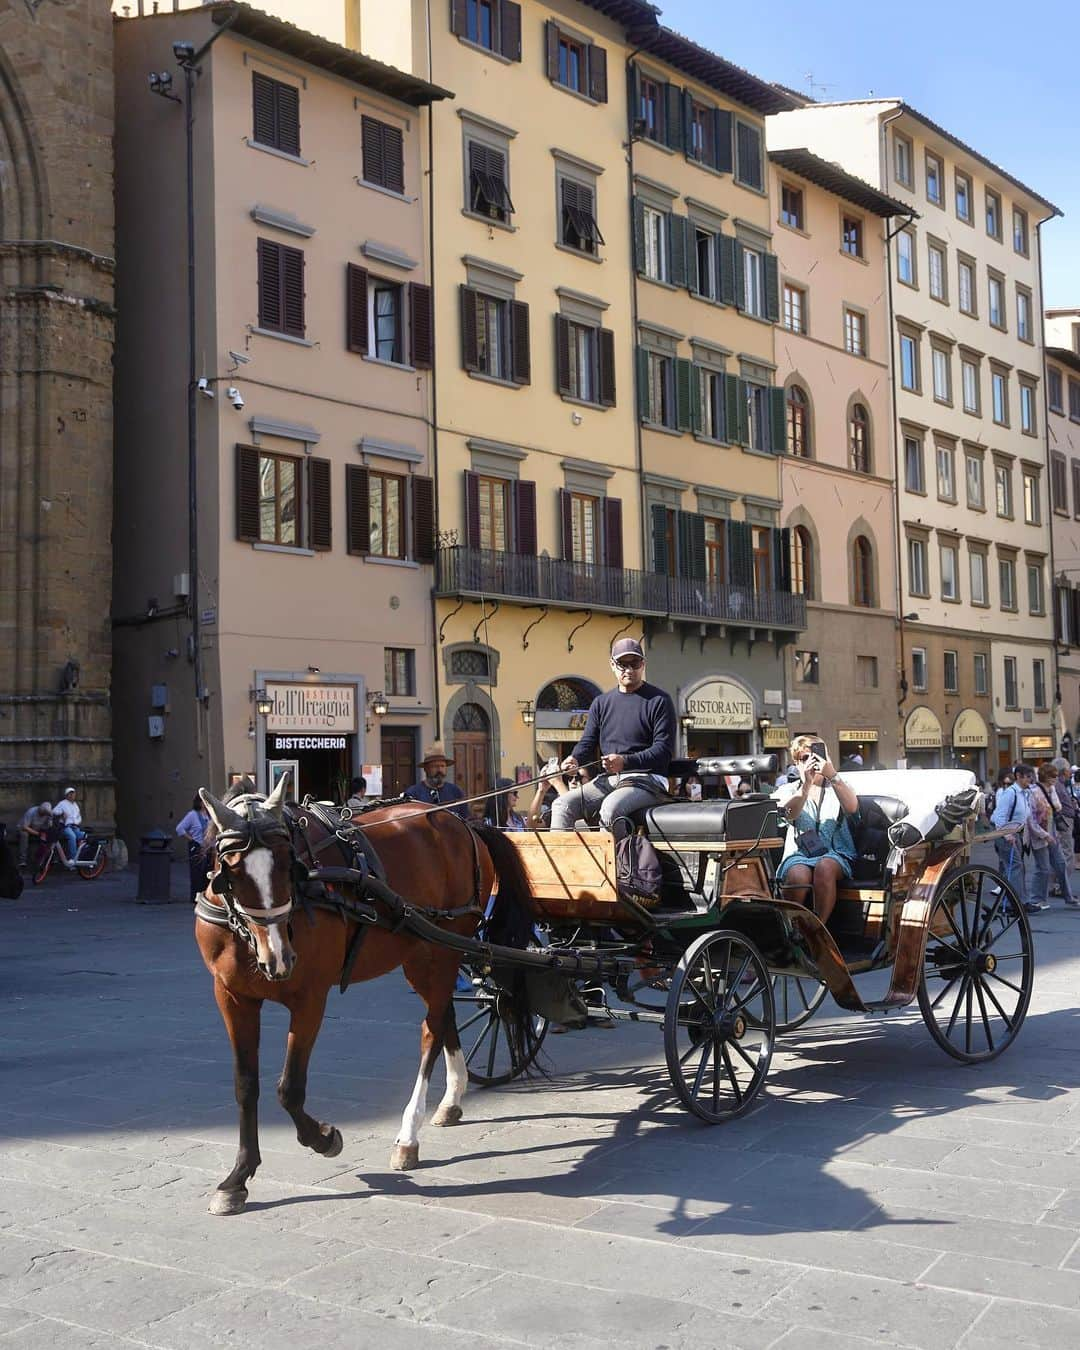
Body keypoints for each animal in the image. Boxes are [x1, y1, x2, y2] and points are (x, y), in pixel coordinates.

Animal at [195, 777, 534, 1220]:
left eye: (288, 862)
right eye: (231, 870)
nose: (279, 959)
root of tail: (464, 823)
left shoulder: (309, 998)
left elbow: (290, 1088)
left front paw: (323, 1138)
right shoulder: (232, 997)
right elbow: (245, 1085)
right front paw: (237, 1178)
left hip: (442, 950)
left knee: (431, 1030)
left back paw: (408, 1135)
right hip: (421, 953)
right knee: (443, 1015)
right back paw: (450, 1100)